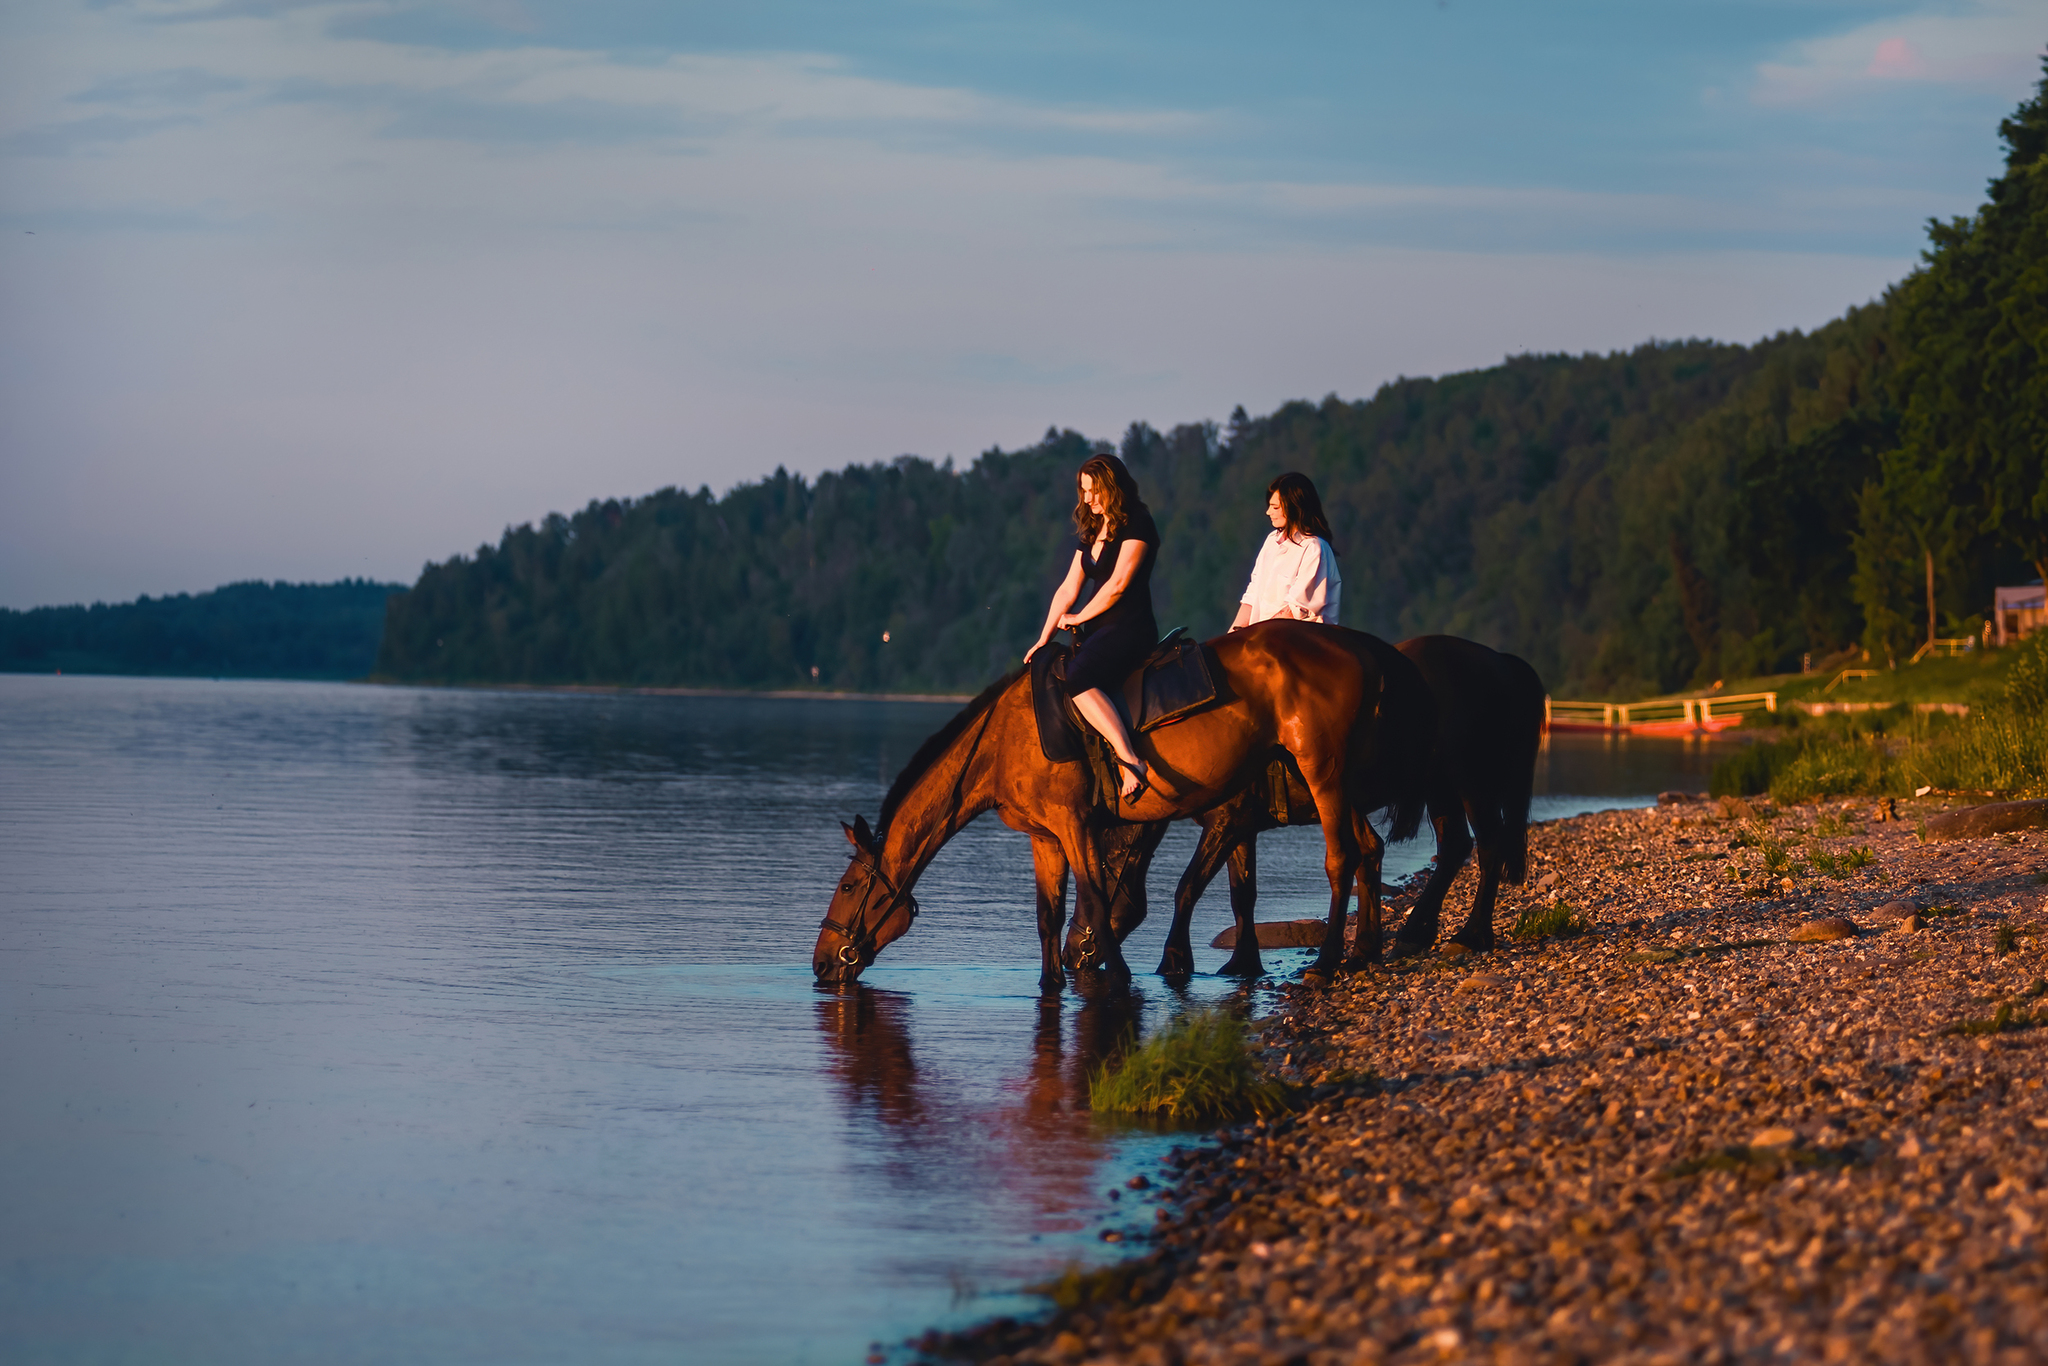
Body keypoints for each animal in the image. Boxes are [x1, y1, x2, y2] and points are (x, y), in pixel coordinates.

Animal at [811, 622, 1425, 995]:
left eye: (847, 887)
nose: (820, 962)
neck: (1003, 741)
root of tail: (1360, 648)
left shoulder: (1076, 823)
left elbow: (1100, 903)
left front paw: (1123, 976)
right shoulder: (1045, 837)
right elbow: (1049, 914)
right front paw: (1051, 983)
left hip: (1324, 774)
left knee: (1342, 859)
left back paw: (1327, 961)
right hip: (1337, 785)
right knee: (1367, 851)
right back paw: (1364, 950)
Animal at [1130, 630, 1540, 970]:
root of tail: (1501, 662)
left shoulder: (1230, 820)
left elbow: (1190, 885)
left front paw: (1175, 960)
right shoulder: (1240, 828)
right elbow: (1242, 892)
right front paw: (1242, 964)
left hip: (1473, 782)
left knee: (1489, 844)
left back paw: (1472, 935)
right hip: (1439, 789)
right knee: (1455, 845)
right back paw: (1414, 935)